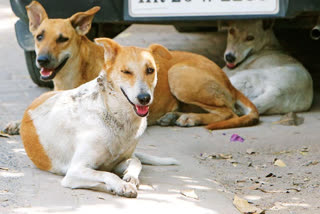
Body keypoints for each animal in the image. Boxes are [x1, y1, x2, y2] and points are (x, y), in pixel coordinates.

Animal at [5, 0, 260, 134]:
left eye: (62, 39)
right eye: (39, 37)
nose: (42, 60)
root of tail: (227, 79)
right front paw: (18, 122)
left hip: (178, 75)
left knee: (228, 111)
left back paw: (190, 118)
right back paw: (176, 115)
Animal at [20, 38, 179, 197]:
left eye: (150, 70)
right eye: (126, 72)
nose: (144, 98)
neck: (113, 113)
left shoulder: (117, 162)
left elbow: (135, 161)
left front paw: (130, 177)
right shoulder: (75, 171)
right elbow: (106, 174)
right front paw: (120, 185)